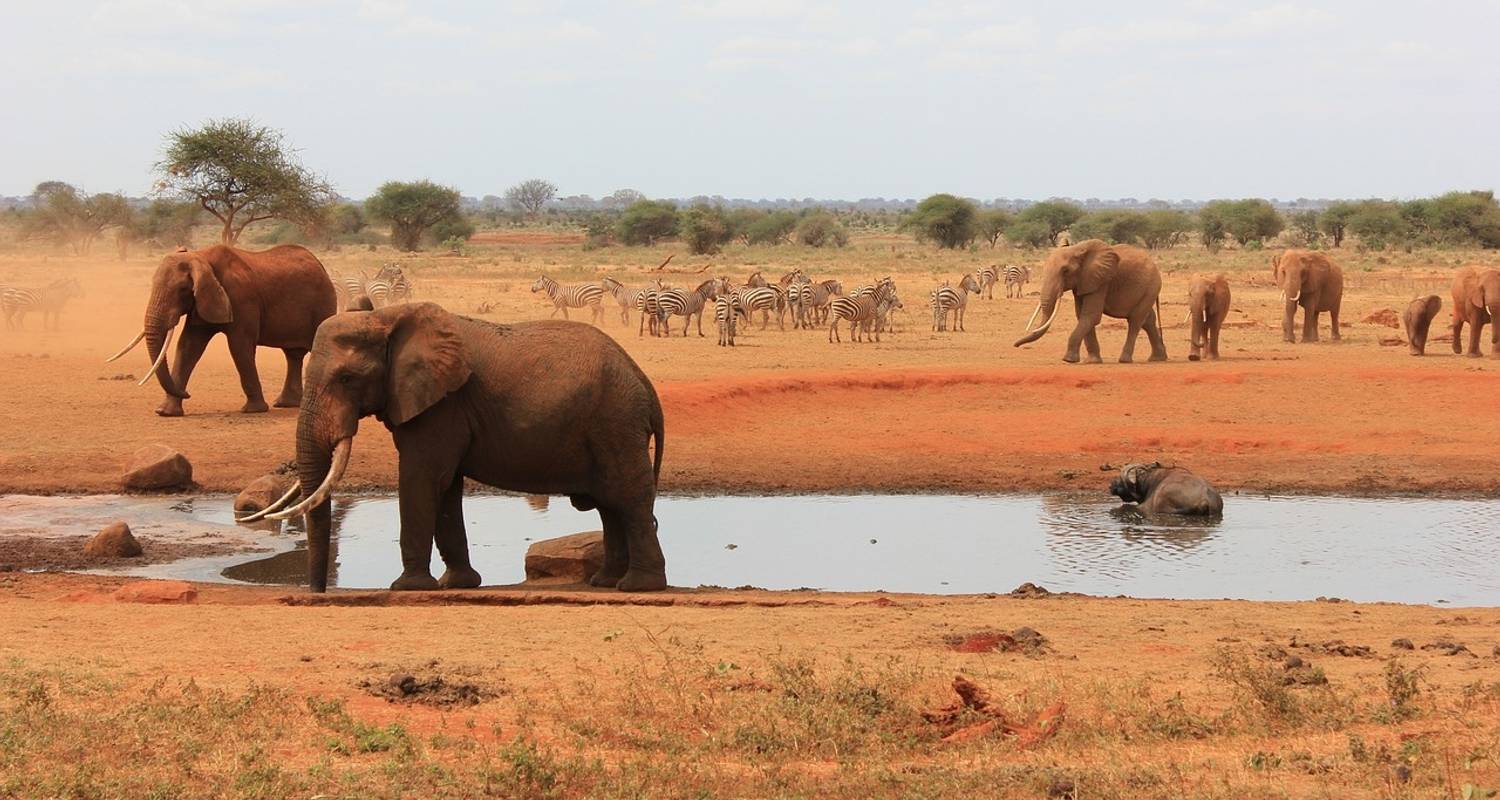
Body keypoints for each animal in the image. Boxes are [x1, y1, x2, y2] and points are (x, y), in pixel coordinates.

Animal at [108, 243, 337, 414]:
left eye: (182, 290)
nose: (188, 394)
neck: (200, 256)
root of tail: (320, 265)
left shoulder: (241, 299)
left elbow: (239, 346)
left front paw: (253, 410)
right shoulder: (203, 301)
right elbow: (188, 346)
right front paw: (166, 412)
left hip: (324, 304)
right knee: (293, 355)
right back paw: (286, 404)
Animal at [1014, 237, 1164, 361]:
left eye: (1065, 271)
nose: (1015, 345)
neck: (1077, 250)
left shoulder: (1101, 282)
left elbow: (1091, 315)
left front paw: (1068, 360)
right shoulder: (1082, 282)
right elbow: (1082, 315)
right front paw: (1092, 361)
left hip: (1151, 287)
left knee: (1135, 321)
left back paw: (1125, 360)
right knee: (1148, 320)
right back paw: (1158, 358)